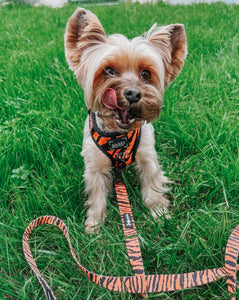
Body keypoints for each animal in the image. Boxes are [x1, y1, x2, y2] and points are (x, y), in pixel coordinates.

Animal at [64, 6, 188, 232]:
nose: (133, 93)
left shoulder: (148, 157)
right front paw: (94, 224)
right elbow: (97, 195)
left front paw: (160, 215)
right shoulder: (95, 165)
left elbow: (152, 186)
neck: (118, 135)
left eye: (146, 73)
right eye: (109, 70)